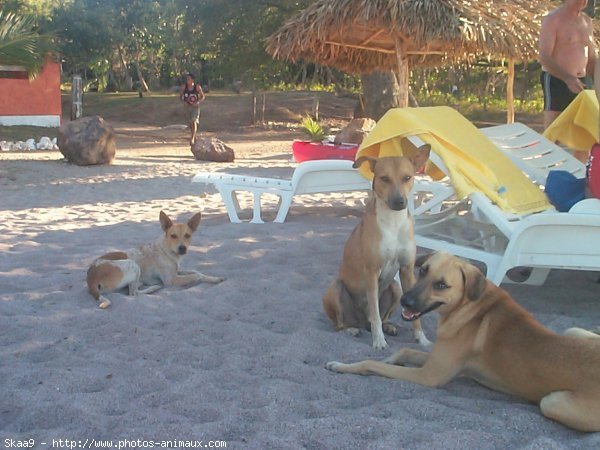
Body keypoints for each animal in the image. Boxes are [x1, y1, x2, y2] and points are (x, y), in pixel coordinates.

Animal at [85, 211, 224, 310]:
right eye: (173, 236)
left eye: (187, 236)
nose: (182, 248)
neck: (166, 251)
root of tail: (90, 276)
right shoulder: (171, 280)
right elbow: (196, 276)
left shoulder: (177, 271)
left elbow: (197, 272)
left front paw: (214, 278)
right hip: (133, 265)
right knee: (133, 293)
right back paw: (153, 288)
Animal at [324, 142, 432, 350]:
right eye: (384, 178)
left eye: (407, 177)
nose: (399, 202)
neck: (393, 223)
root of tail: (360, 320)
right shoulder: (372, 271)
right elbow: (375, 315)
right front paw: (379, 341)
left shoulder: (407, 270)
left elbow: (413, 316)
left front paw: (421, 338)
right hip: (336, 288)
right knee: (341, 324)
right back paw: (351, 329)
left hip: (396, 288)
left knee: (381, 317)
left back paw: (389, 326)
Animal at [326, 253, 600, 432]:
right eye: (423, 270)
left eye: (441, 285)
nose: (404, 301)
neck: (470, 305)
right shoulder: (438, 359)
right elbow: (403, 351)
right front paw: (390, 357)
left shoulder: (429, 376)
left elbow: (372, 364)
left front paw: (342, 365)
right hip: (574, 330)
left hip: (552, 402)